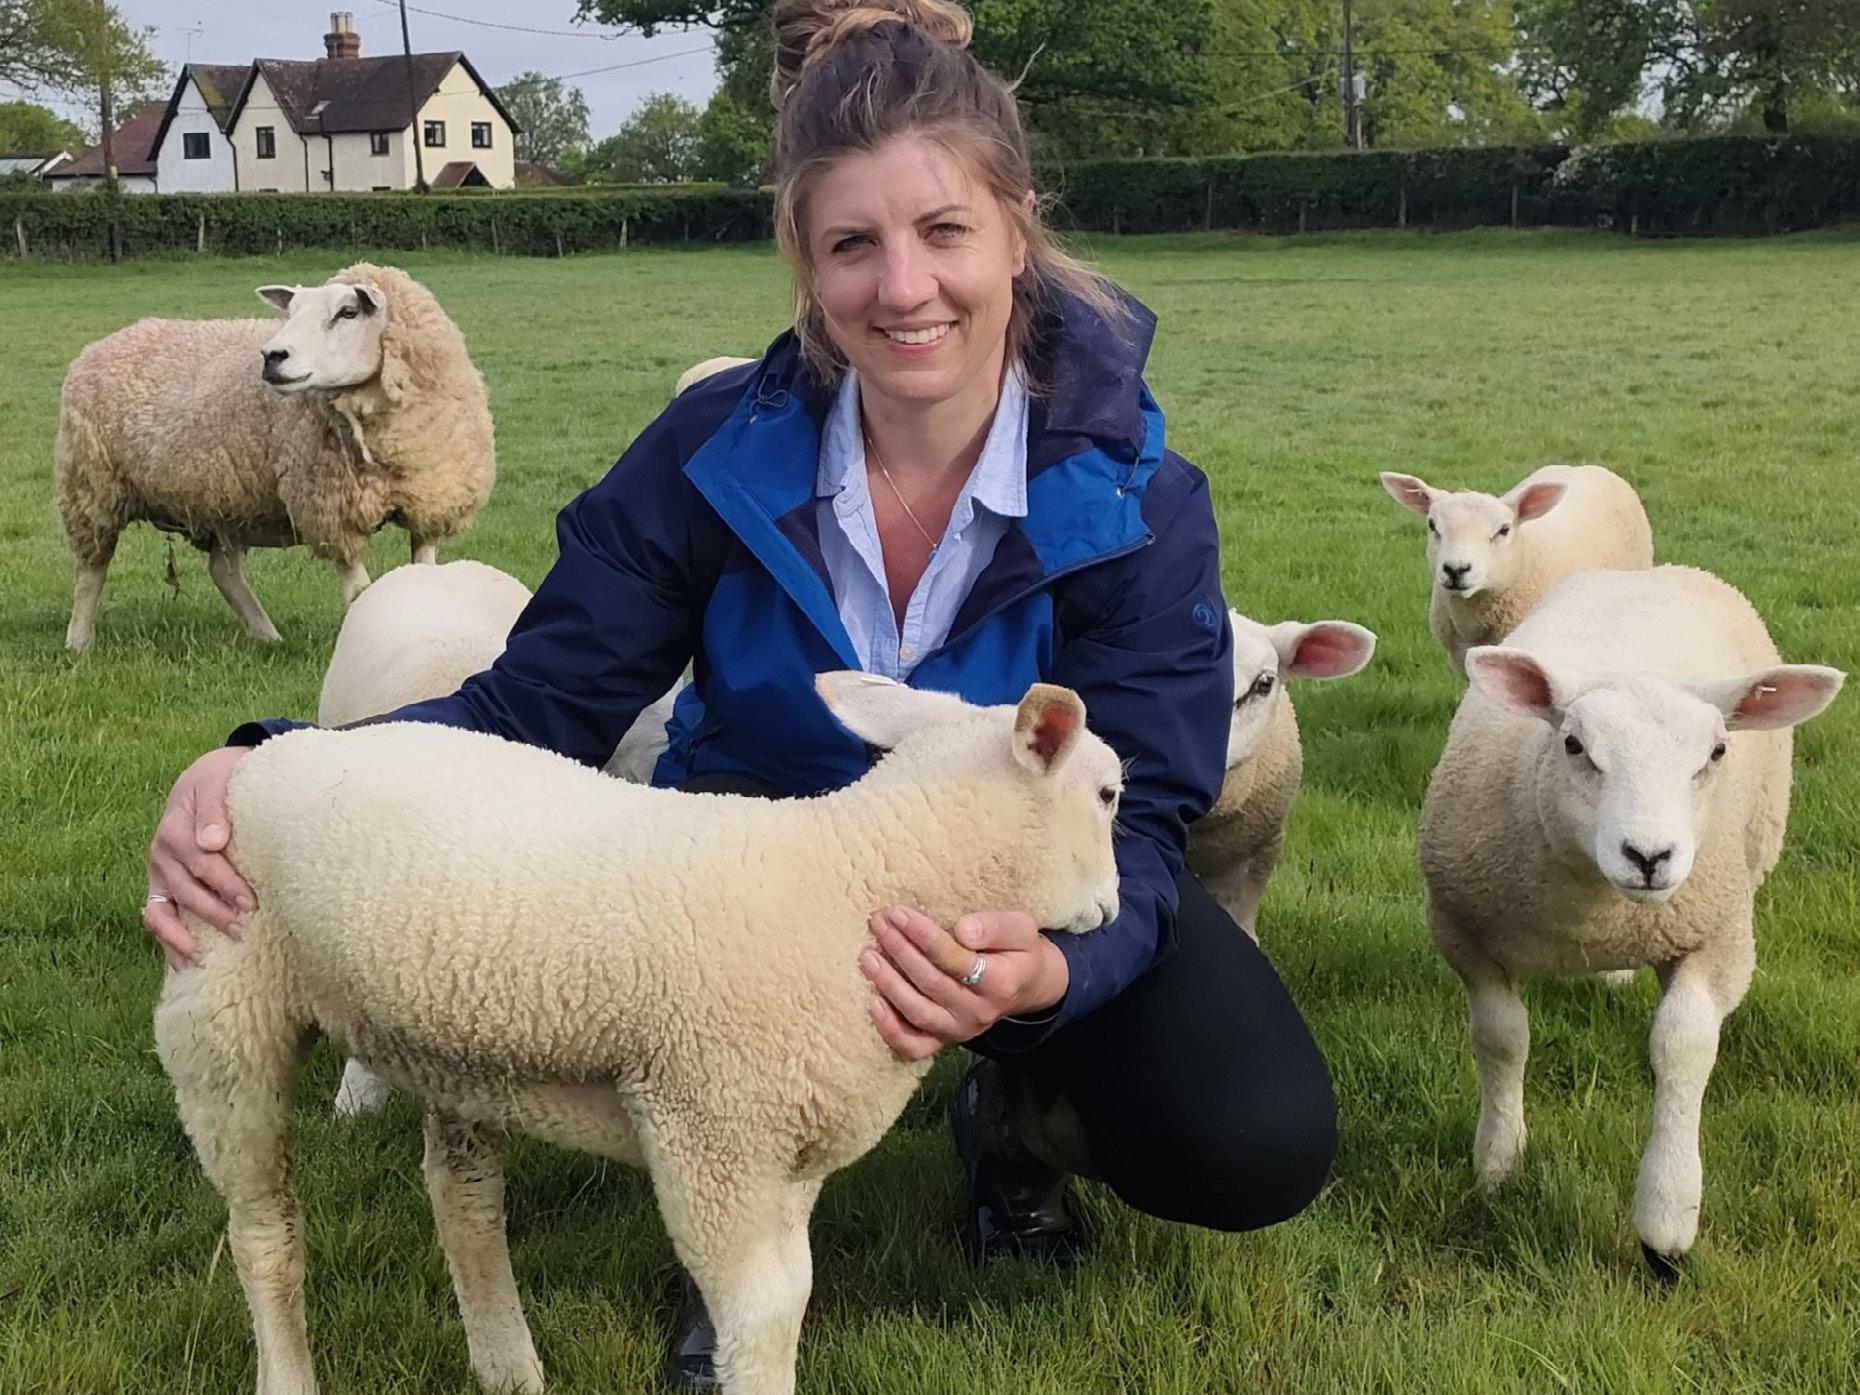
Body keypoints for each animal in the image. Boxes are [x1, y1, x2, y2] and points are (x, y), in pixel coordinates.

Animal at [57, 263, 494, 650]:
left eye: (348, 312)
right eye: (292, 311)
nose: (272, 356)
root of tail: (111, 339)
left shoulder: (430, 506)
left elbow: (425, 579)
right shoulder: (333, 513)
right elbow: (359, 593)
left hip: (225, 503)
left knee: (223, 571)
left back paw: (266, 635)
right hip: (92, 488)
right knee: (90, 571)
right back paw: (79, 642)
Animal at [155, 675, 1122, 1395]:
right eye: (1111, 793)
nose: (1116, 907)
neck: (859, 873)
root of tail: (272, 753)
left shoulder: (785, 1154)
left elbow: (796, 1291)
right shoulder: (714, 1136)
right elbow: (764, 1316)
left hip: (451, 1041)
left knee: (462, 1199)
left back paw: (507, 1364)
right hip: (221, 1010)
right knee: (264, 1229)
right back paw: (291, 1370)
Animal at [1418, 565, 1843, 1271]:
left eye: (1717, 752)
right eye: (1572, 744)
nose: (1649, 856)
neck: (1596, 915)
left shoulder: (1719, 937)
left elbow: (1684, 1047)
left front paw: (1666, 1221)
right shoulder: (1465, 935)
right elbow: (1502, 1040)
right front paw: (1498, 1162)